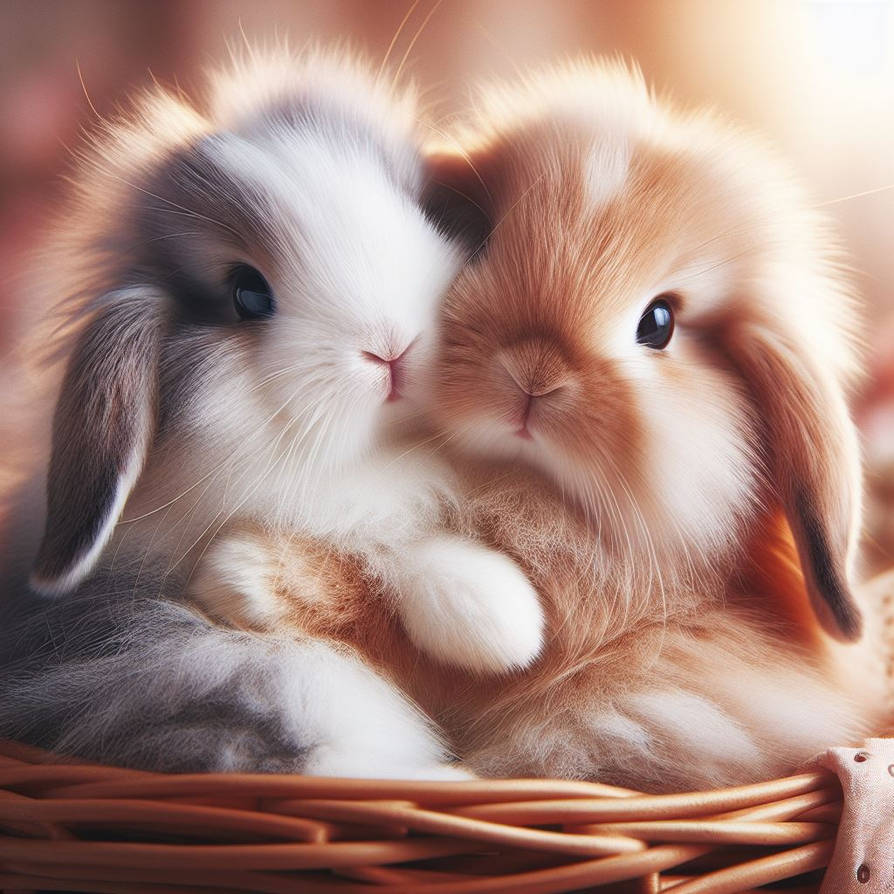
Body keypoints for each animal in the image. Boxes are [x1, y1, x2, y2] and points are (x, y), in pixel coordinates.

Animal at [0, 46, 545, 777]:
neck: (376, 457)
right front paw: (509, 628)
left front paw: (503, 623)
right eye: (248, 295)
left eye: (422, 210)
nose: (392, 345)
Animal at [220, 59, 887, 791]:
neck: (527, 496)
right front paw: (246, 572)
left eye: (660, 322)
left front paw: (245, 576)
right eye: (482, 237)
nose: (532, 374)